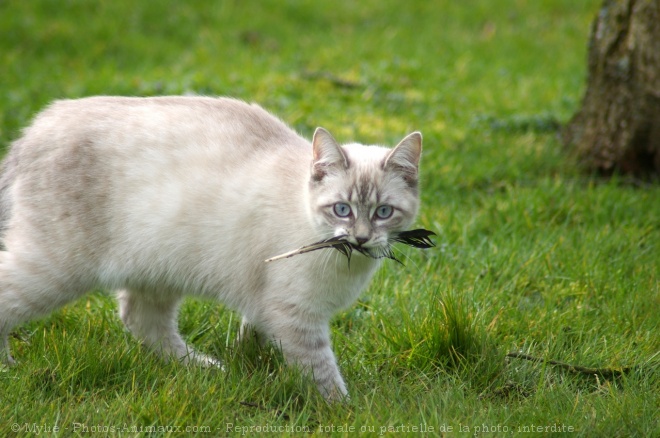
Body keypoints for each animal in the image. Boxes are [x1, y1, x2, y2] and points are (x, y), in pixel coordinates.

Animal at [0, 96, 422, 400]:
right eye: (342, 209)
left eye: (383, 212)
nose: (361, 239)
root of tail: (35, 127)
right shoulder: (296, 314)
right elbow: (321, 371)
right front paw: (346, 411)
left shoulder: (266, 304)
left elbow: (253, 336)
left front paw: (248, 362)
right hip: (57, 269)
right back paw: (7, 370)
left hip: (158, 268)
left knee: (139, 319)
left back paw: (201, 367)